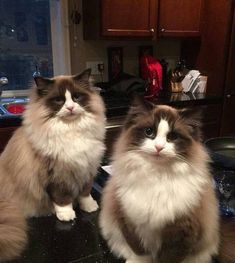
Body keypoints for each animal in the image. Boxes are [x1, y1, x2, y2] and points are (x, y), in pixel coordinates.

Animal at [0, 69, 105, 262]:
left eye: (76, 97)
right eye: (59, 100)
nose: (70, 108)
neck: (71, 130)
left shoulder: (86, 169)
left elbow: (85, 193)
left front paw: (89, 207)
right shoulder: (57, 174)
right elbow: (62, 199)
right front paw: (67, 215)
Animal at [99, 98, 235, 263]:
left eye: (172, 137)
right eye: (149, 132)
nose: (159, 147)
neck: (157, 176)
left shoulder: (181, 232)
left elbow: (168, 258)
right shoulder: (127, 221)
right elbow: (140, 252)